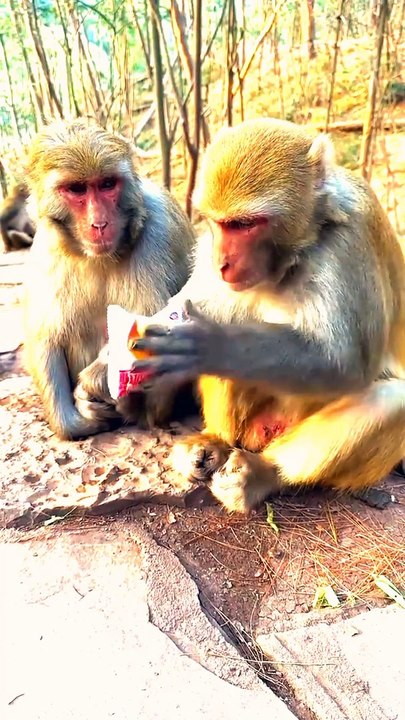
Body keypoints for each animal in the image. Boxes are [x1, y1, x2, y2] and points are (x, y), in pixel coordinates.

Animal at [23, 118, 195, 440]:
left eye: (106, 185)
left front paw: (90, 387)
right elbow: (45, 335)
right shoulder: (45, 248)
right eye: (77, 189)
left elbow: (162, 324)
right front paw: (73, 420)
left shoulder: (160, 228)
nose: (99, 223)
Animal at [128, 117, 405, 513]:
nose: (223, 262)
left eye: (245, 225)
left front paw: (207, 345)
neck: (300, 248)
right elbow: (194, 302)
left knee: (392, 399)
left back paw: (265, 474)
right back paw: (216, 441)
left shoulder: (352, 240)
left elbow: (345, 363)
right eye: (220, 223)